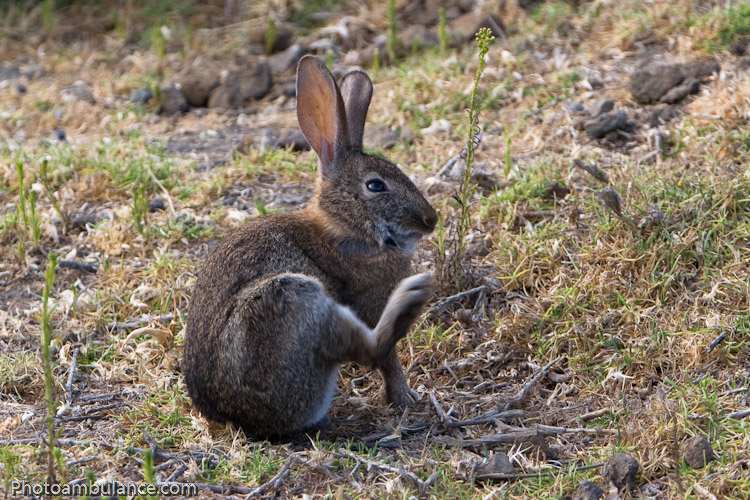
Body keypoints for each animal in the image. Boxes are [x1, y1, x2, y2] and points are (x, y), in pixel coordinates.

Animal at [182, 55, 438, 437]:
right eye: (376, 186)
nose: (430, 220)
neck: (346, 227)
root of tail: (239, 418)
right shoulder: (369, 300)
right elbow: (388, 359)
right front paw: (404, 396)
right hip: (294, 301)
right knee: (369, 347)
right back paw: (412, 298)